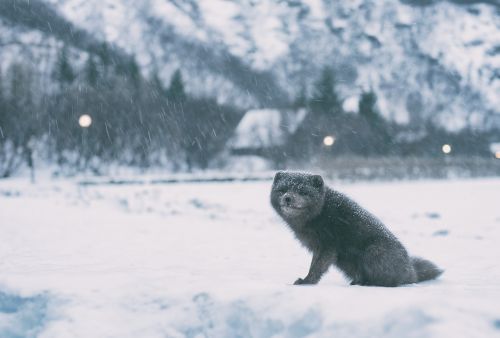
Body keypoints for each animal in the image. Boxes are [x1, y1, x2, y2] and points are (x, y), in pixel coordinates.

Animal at [270, 172, 442, 286]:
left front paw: (307, 282)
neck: (320, 213)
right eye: (282, 190)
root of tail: (412, 271)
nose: (287, 198)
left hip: (373, 251)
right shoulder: (317, 247)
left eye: (302, 191)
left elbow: (317, 267)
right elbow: (313, 265)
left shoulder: (328, 245)